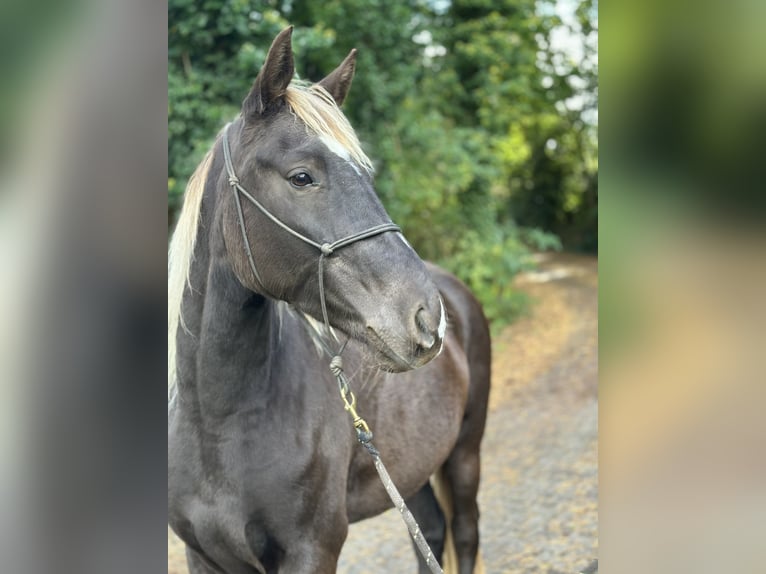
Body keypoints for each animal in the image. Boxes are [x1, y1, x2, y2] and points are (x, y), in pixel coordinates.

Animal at [168, 27, 491, 574]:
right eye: (302, 176)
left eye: (366, 176)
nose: (427, 319)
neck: (217, 422)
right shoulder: (203, 556)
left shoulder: (313, 549)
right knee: (429, 533)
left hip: (465, 453)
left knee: (465, 534)